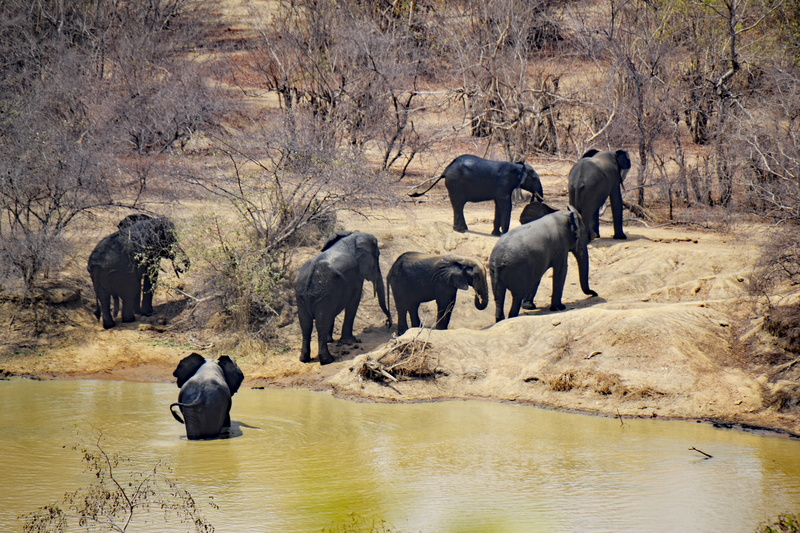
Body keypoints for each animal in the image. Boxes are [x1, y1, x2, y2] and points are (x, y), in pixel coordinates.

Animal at [295, 231, 392, 365]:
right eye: (377, 257)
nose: (388, 323)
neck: (351, 237)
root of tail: (310, 275)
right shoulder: (356, 277)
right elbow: (354, 302)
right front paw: (350, 341)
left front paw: (331, 340)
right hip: (324, 294)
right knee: (321, 323)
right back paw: (328, 360)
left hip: (303, 295)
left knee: (306, 324)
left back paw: (304, 359)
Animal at [409, 154, 544, 235]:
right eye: (535, 179)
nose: (538, 199)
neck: (518, 166)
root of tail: (445, 170)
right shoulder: (504, 184)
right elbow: (505, 204)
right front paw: (503, 234)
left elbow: (498, 205)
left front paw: (496, 234)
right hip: (456, 183)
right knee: (459, 204)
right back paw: (460, 230)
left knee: (458, 205)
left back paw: (463, 229)